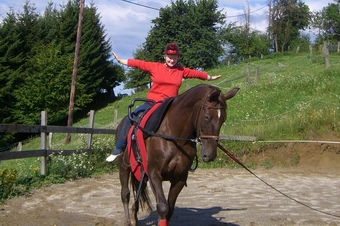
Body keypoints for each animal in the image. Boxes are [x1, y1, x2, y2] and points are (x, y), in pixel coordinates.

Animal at [117, 84, 239, 226]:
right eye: (207, 117)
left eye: (223, 119)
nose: (210, 155)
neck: (173, 135)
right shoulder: (154, 173)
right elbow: (163, 207)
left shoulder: (179, 177)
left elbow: (169, 210)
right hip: (124, 167)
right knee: (125, 193)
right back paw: (128, 220)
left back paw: (133, 216)